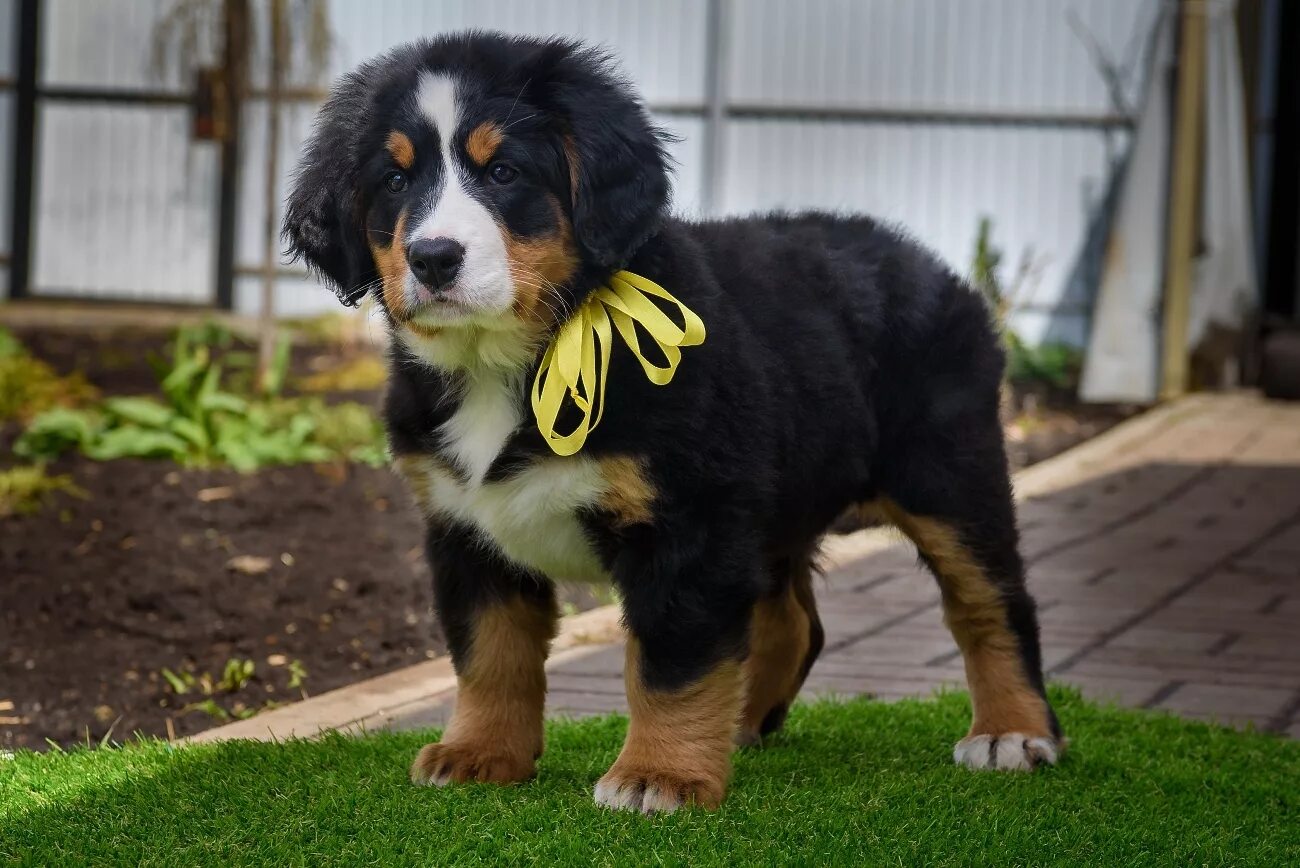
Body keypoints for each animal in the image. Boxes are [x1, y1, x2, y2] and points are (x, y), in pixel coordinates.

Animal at [282, 28, 1055, 816]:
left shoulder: (689, 522)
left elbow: (672, 662)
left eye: (502, 172)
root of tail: (934, 266)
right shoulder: (466, 529)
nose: (434, 257)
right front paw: (479, 753)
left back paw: (1011, 733)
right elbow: (490, 654)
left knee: (993, 604)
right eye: (394, 182)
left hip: (948, 477)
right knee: (791, 620)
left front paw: (663, 774)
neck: (511, 358)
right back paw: (742, 722)